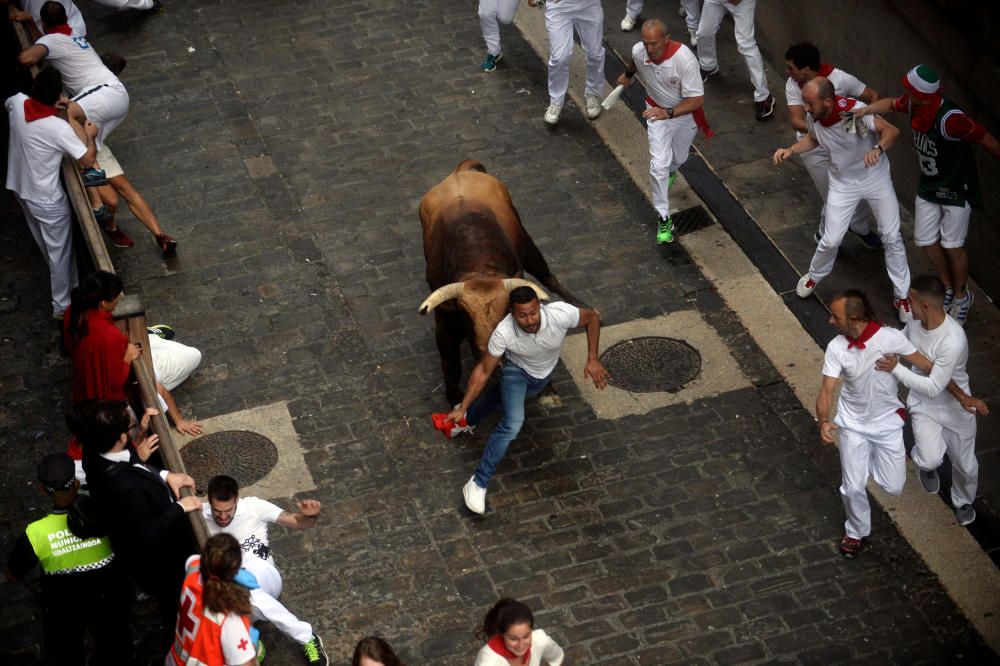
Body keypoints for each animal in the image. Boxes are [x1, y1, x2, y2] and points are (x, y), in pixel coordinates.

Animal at [416, 160, 584, 404]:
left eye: (507, 310)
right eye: (465, 315)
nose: (496, 362)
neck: (479, 266)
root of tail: (459, 172)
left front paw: (547, 389)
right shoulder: (445, 322)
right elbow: (450, 364)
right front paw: (456, 398)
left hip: (528, 243)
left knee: (548, 276)